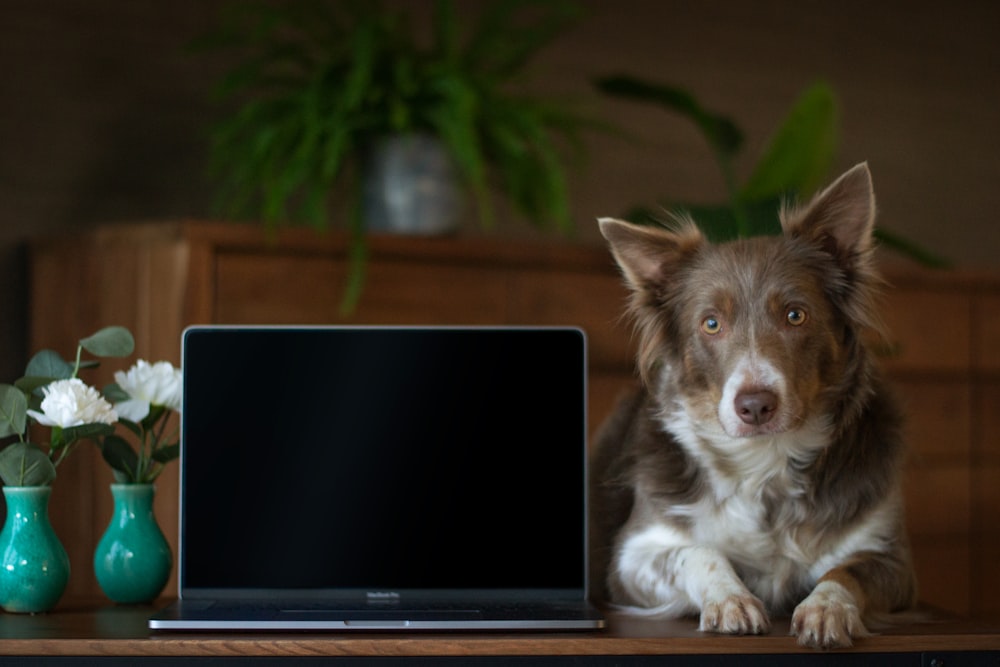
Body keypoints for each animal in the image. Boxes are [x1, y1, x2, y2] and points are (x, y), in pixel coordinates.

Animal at [588, 164, 916, 648]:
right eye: (711, 324)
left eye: (795, 315)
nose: (755, 405)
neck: (765, 462)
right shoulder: (630, 559)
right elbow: (698, 552)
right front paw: (730, 598)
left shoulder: (889, 557)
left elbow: (845, 571)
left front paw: (827, 608)